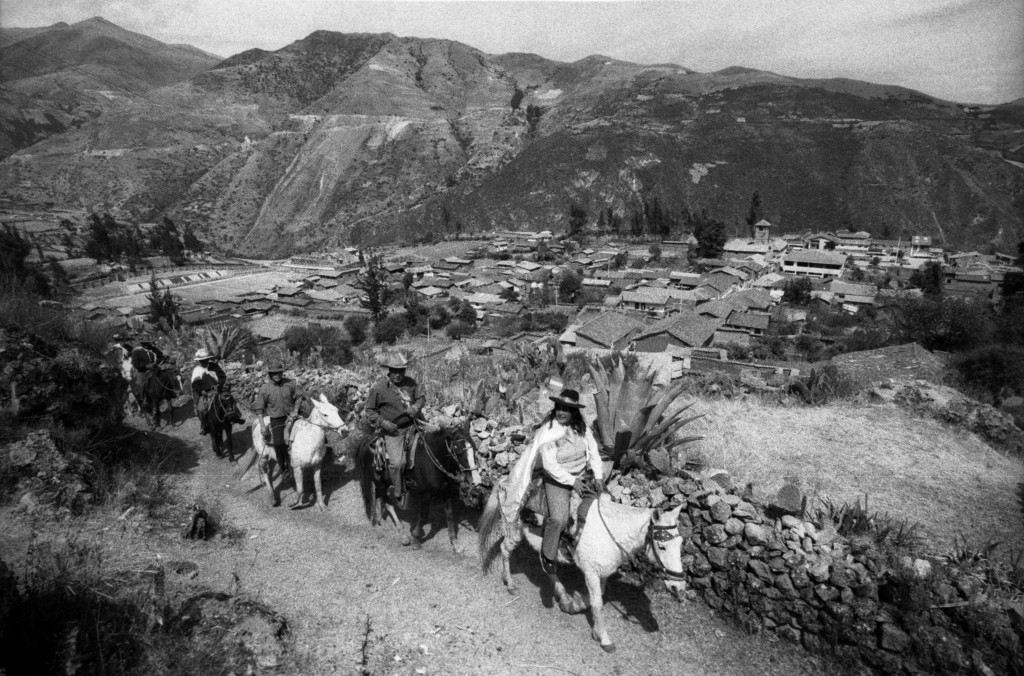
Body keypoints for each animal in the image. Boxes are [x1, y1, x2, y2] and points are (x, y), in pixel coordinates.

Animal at [479, 487, 688, 651]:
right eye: (662, 546)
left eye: (680, 543)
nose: (678, 586)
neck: (610, 532)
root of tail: (503, 482)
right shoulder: (591, 573)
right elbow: (597, 603)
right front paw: (604, 638)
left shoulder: (601, 573)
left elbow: (598, 597)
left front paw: (574, 606)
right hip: (513, 530)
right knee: (505, 550)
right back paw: (510, 583)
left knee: (547, 566)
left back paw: (563, 595)